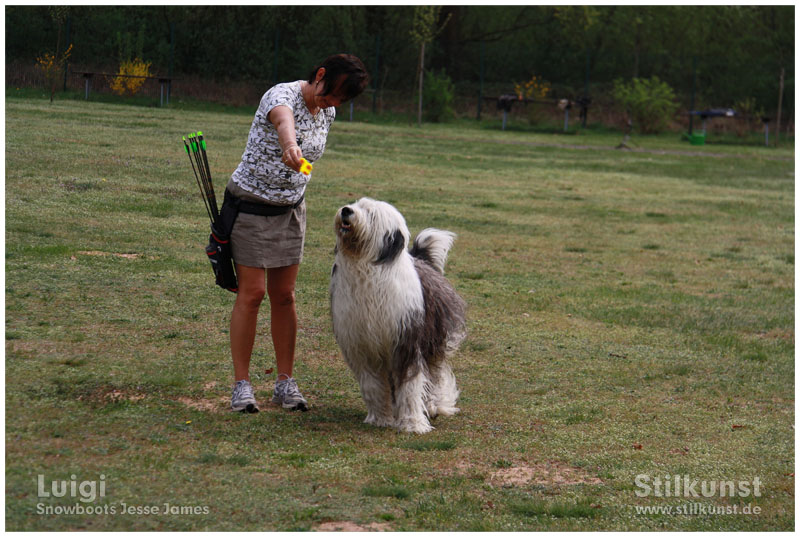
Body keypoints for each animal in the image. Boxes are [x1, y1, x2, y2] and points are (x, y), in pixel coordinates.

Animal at [328, 197, 466, 432]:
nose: (346, 211)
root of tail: (422, 261)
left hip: (434, 338)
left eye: (371, 213)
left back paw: (435, 405)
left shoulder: (406, 339)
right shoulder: (362, 345)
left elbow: (410, 385)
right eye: (356, 204)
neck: (367, 270)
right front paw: (380, 418)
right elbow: (372, 385)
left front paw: (413, 423)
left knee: (436, 374)